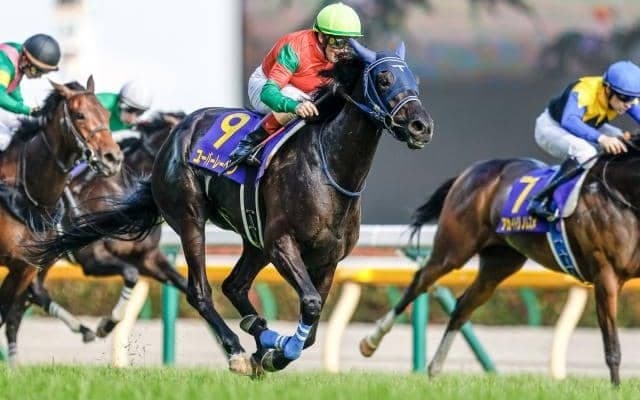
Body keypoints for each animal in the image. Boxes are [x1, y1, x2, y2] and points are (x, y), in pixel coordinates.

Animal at [4, 112, 185, 363]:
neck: (119, 189)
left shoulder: (146, 256)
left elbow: (182, 283)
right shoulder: (92, 260)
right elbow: (131, 274)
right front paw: (106, 324)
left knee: (33, 294)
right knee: (27, 298)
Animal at [27, 40, 434, 376]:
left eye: (414, 78)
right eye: (383, 77)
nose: (421, 126)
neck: (328, 167)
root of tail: (179, 133)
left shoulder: (328, 259)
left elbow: (314, 325)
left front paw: (273, 350)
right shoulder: (282, 243)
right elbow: (311, 304)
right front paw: (276, 353)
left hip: (254, 239)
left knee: (234, 286)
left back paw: (259, 337)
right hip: (192, 218)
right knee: (200, 290)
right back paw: (239, 350)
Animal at [359, 138, 640, 385]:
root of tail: (470, 171)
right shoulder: (605, 275)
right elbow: (612, 346)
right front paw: (616, 389)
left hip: (500, 263)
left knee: (462, 307)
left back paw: (435, 370)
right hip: (454, 249)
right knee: (420, 282)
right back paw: (370, 341)